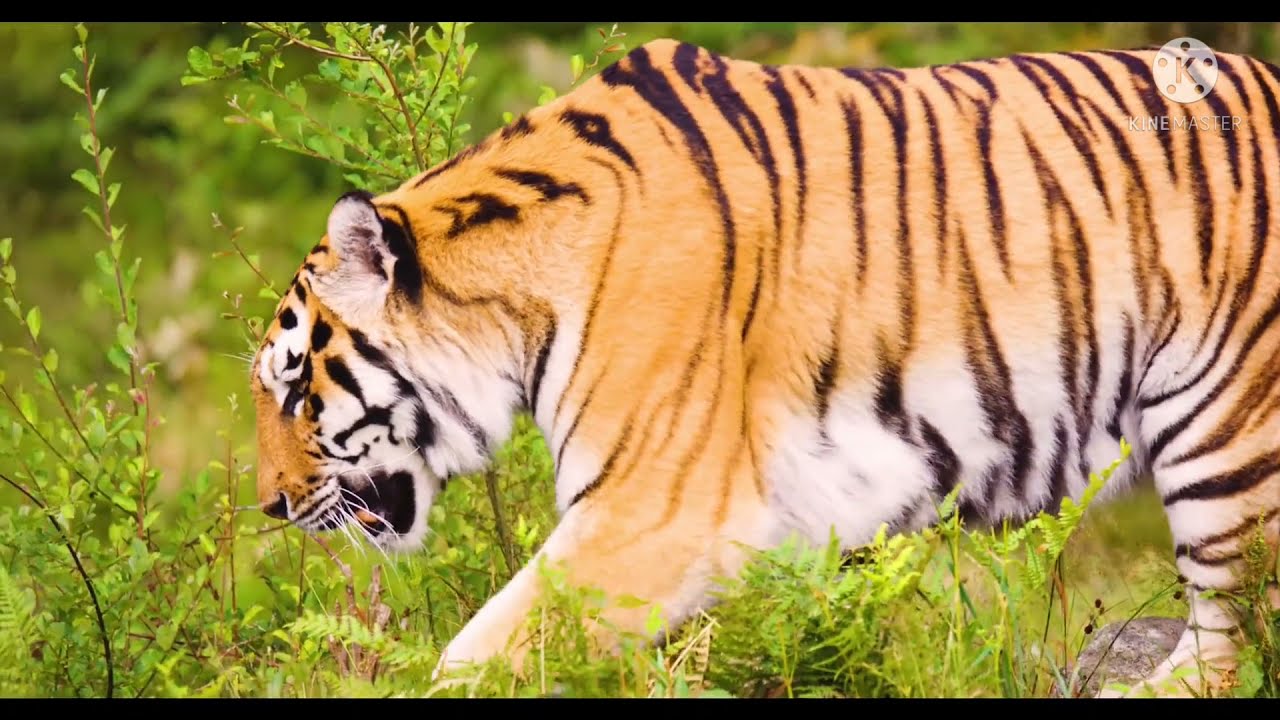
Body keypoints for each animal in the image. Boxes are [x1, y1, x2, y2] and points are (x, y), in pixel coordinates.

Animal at [250, 36, 1280, 697]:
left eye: (296, 387)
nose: (269, 505)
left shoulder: (655, 513)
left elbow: (477, 659)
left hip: (1226, 438)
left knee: (1231, 652)